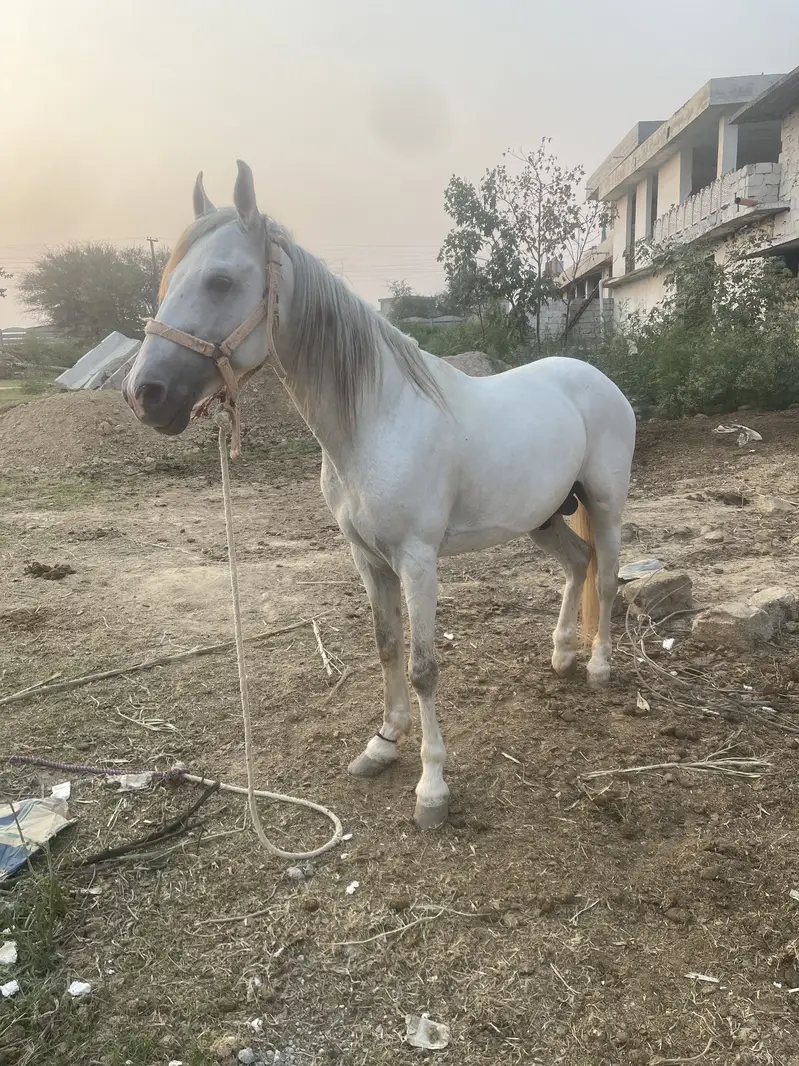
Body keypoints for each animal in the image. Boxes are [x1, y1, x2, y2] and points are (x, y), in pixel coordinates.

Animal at [123, 161, 636, 829]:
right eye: (168, 280)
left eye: (221, 280)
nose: (145, 393)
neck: (375, 420)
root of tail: (597, 380)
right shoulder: (367, 558)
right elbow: (386, 646)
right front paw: (383, 745)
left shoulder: (416, 560)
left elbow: (423, 669)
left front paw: (432, 788)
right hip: (544, 517)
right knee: (579, 566)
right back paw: (562, 655)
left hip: (604, 504)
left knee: (607, 578)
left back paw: (598, 666)